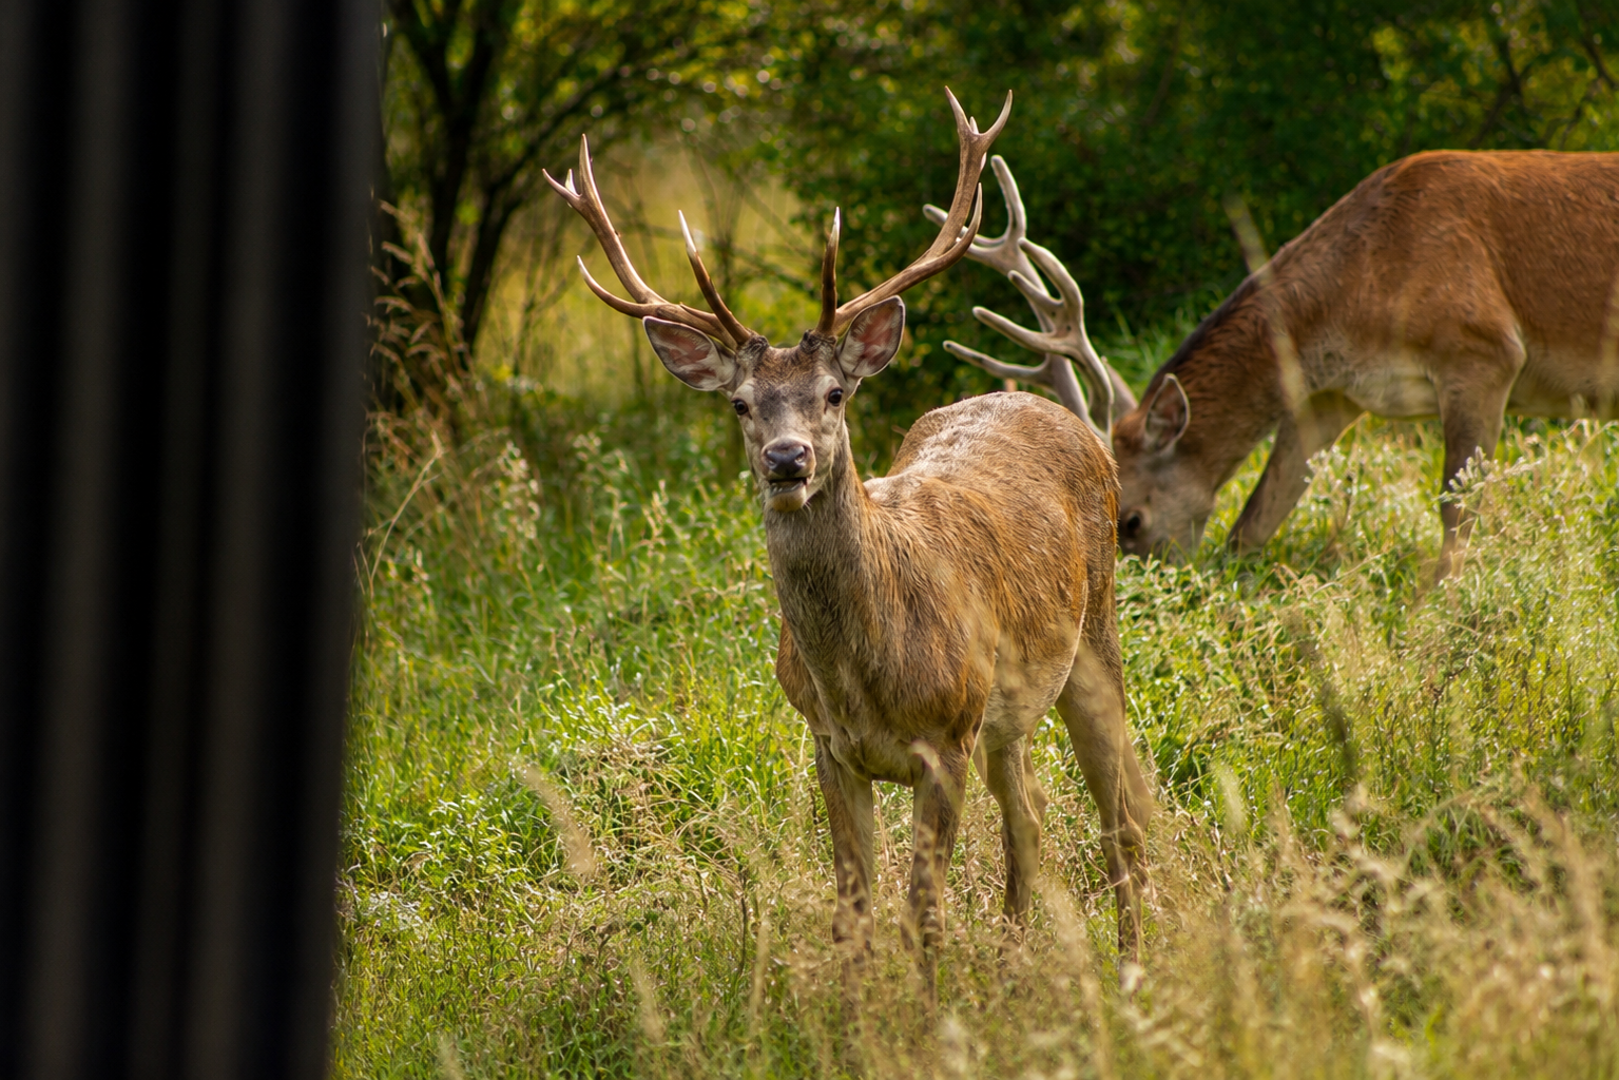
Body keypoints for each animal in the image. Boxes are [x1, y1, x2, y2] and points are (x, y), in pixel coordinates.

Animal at [544, 91, 1153, 1010]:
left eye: (833, 393)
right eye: (740, 404)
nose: (786, 460)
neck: (864, 672)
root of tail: (1052, 410)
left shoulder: (945, 738)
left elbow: (922, 911)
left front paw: (931, 1020)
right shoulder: (829, 745)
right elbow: (853, 910)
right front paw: (860, 1017)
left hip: (1095, 633)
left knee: (1119, 817)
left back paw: (1128, 971)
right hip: (1008, 711)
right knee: (1031, 821)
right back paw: (1014, 966)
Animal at [940, 151, 1619, 578]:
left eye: (1130, 520)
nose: (1142, 592)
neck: (1370, 281)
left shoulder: (1484, 350)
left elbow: (1457, 512)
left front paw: (1440, 613)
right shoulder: (1330, 397)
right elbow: (1254, 522)